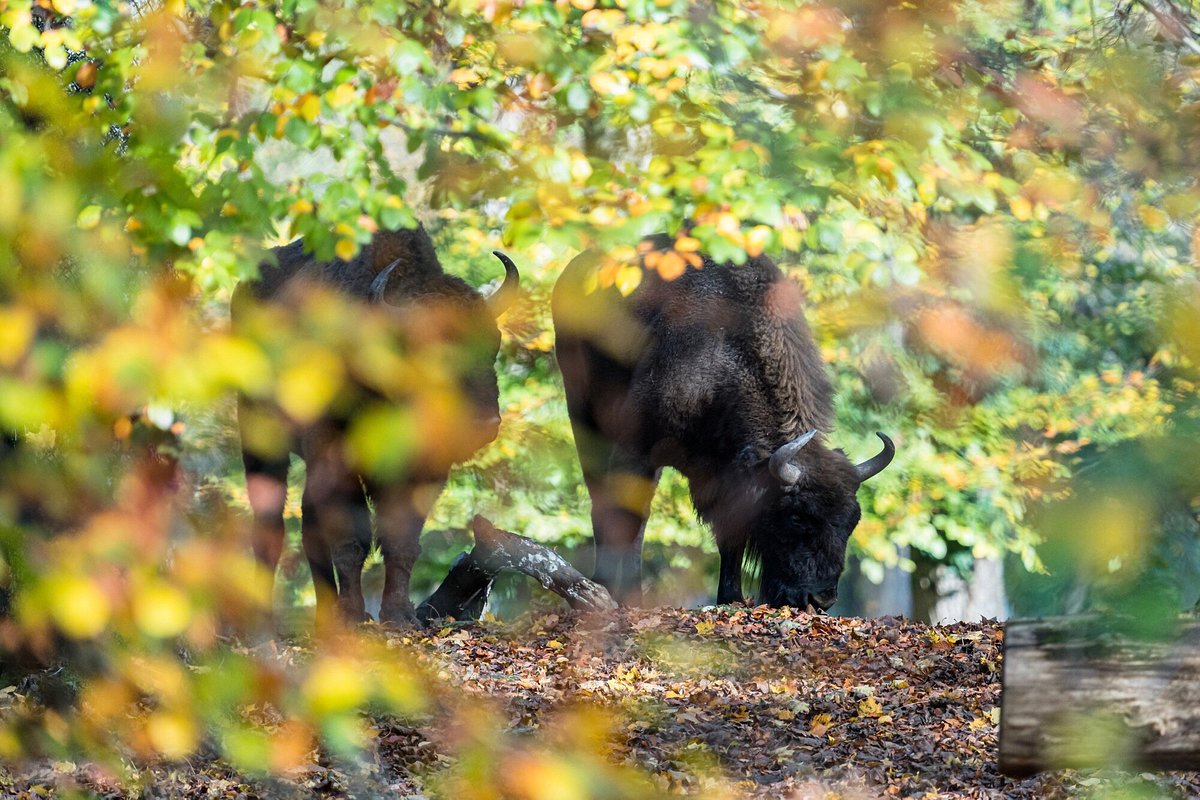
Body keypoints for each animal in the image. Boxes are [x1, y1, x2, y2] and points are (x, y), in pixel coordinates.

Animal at [232, 225, 516, 623]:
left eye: (493, 345)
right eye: (432, 354)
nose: (484, 423)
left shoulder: (424, 471)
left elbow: (401, 541)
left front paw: (398, 614)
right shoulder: (336, 458)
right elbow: (351, 540)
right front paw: (355, 614)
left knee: (308, 522)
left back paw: (326, 614)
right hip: (260, 436)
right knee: (270, 523)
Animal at [552, 235, 892, 609]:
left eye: (852, 519)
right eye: (796, 516)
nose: (821, 599)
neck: (725, 354)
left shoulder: (725, 476)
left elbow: (730, 536)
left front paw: (731, 596)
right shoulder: (636, 449)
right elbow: (626, 516)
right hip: (583, 415)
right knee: (603, 502)